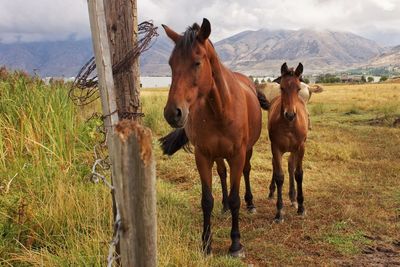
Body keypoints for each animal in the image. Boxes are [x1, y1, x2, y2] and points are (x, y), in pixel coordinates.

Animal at [160, 18, 268, 258]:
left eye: (197, 62)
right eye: (170, 64)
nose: (173, 113)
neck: (221, 108)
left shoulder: (237, 155)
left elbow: (236, 197)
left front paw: (236, 244)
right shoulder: (203, 156)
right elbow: (207, 200)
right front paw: (206, 244)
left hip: (247, 151)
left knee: (246, 172)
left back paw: (250, 204)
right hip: (218, 155)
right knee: (222, 173)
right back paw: (224, 206)